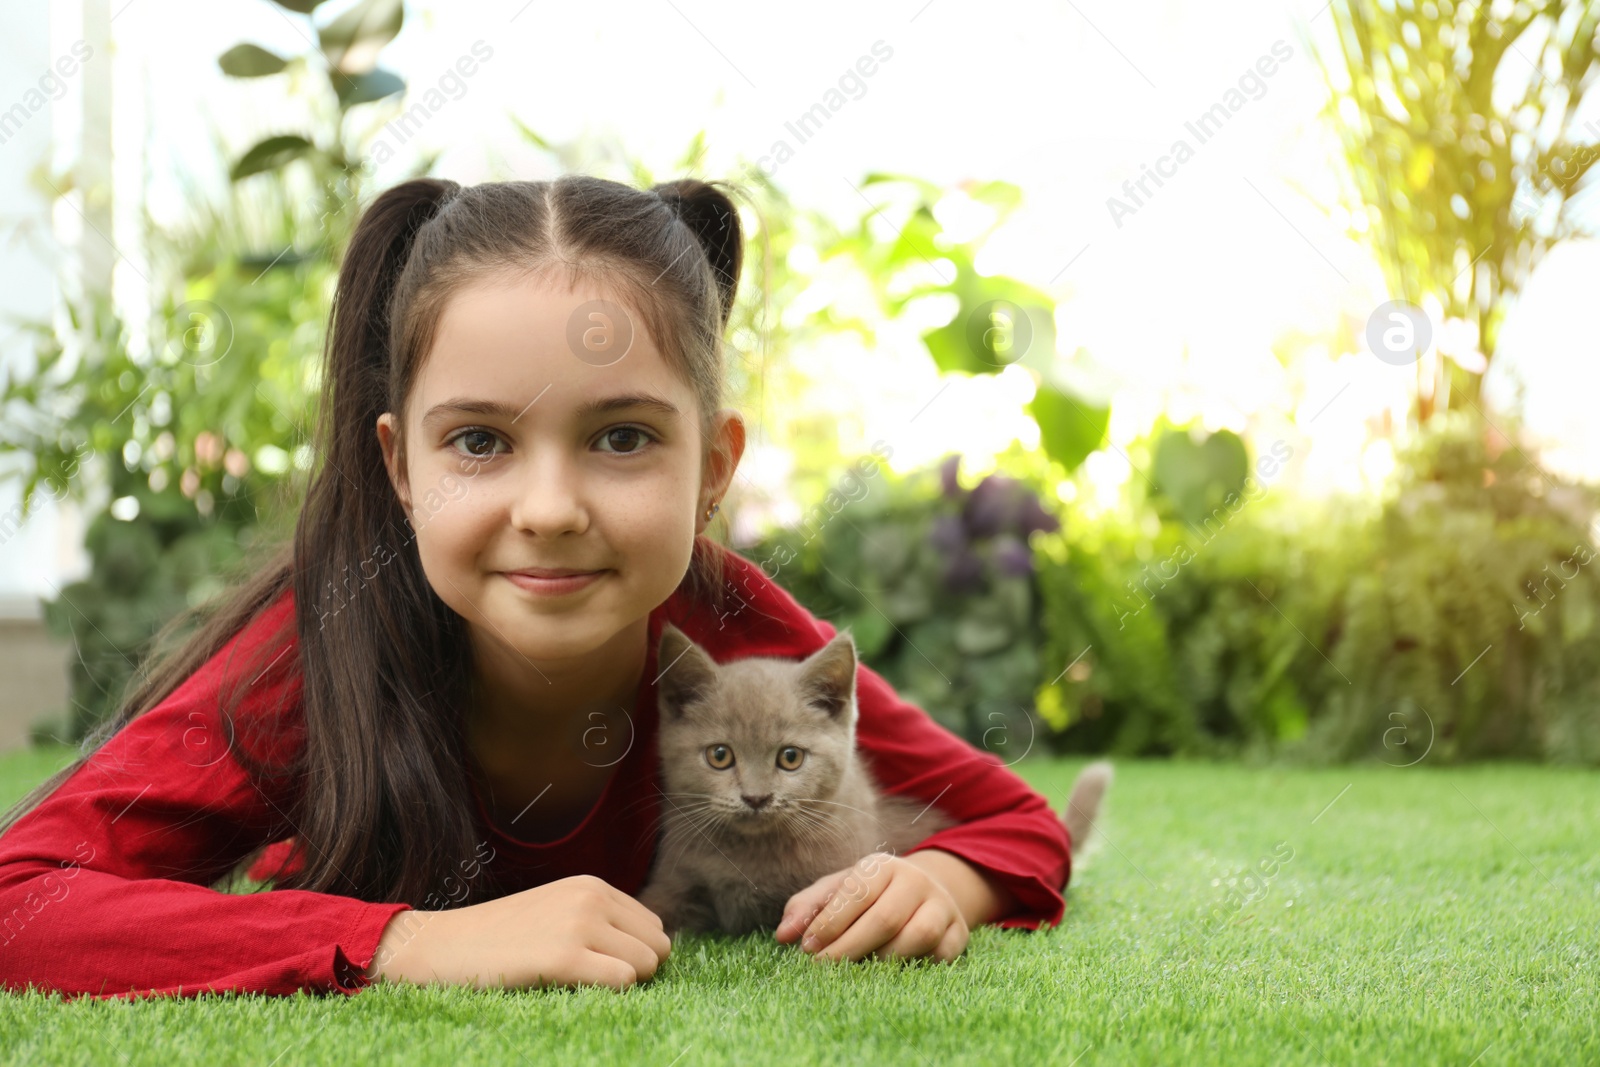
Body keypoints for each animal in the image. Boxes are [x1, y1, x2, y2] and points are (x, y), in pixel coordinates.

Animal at [636, 620, 1113, 940]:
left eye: (790, 758)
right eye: (720, 756)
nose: (756, 797)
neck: (751, 856)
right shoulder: (674, 879)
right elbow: (648, 910)